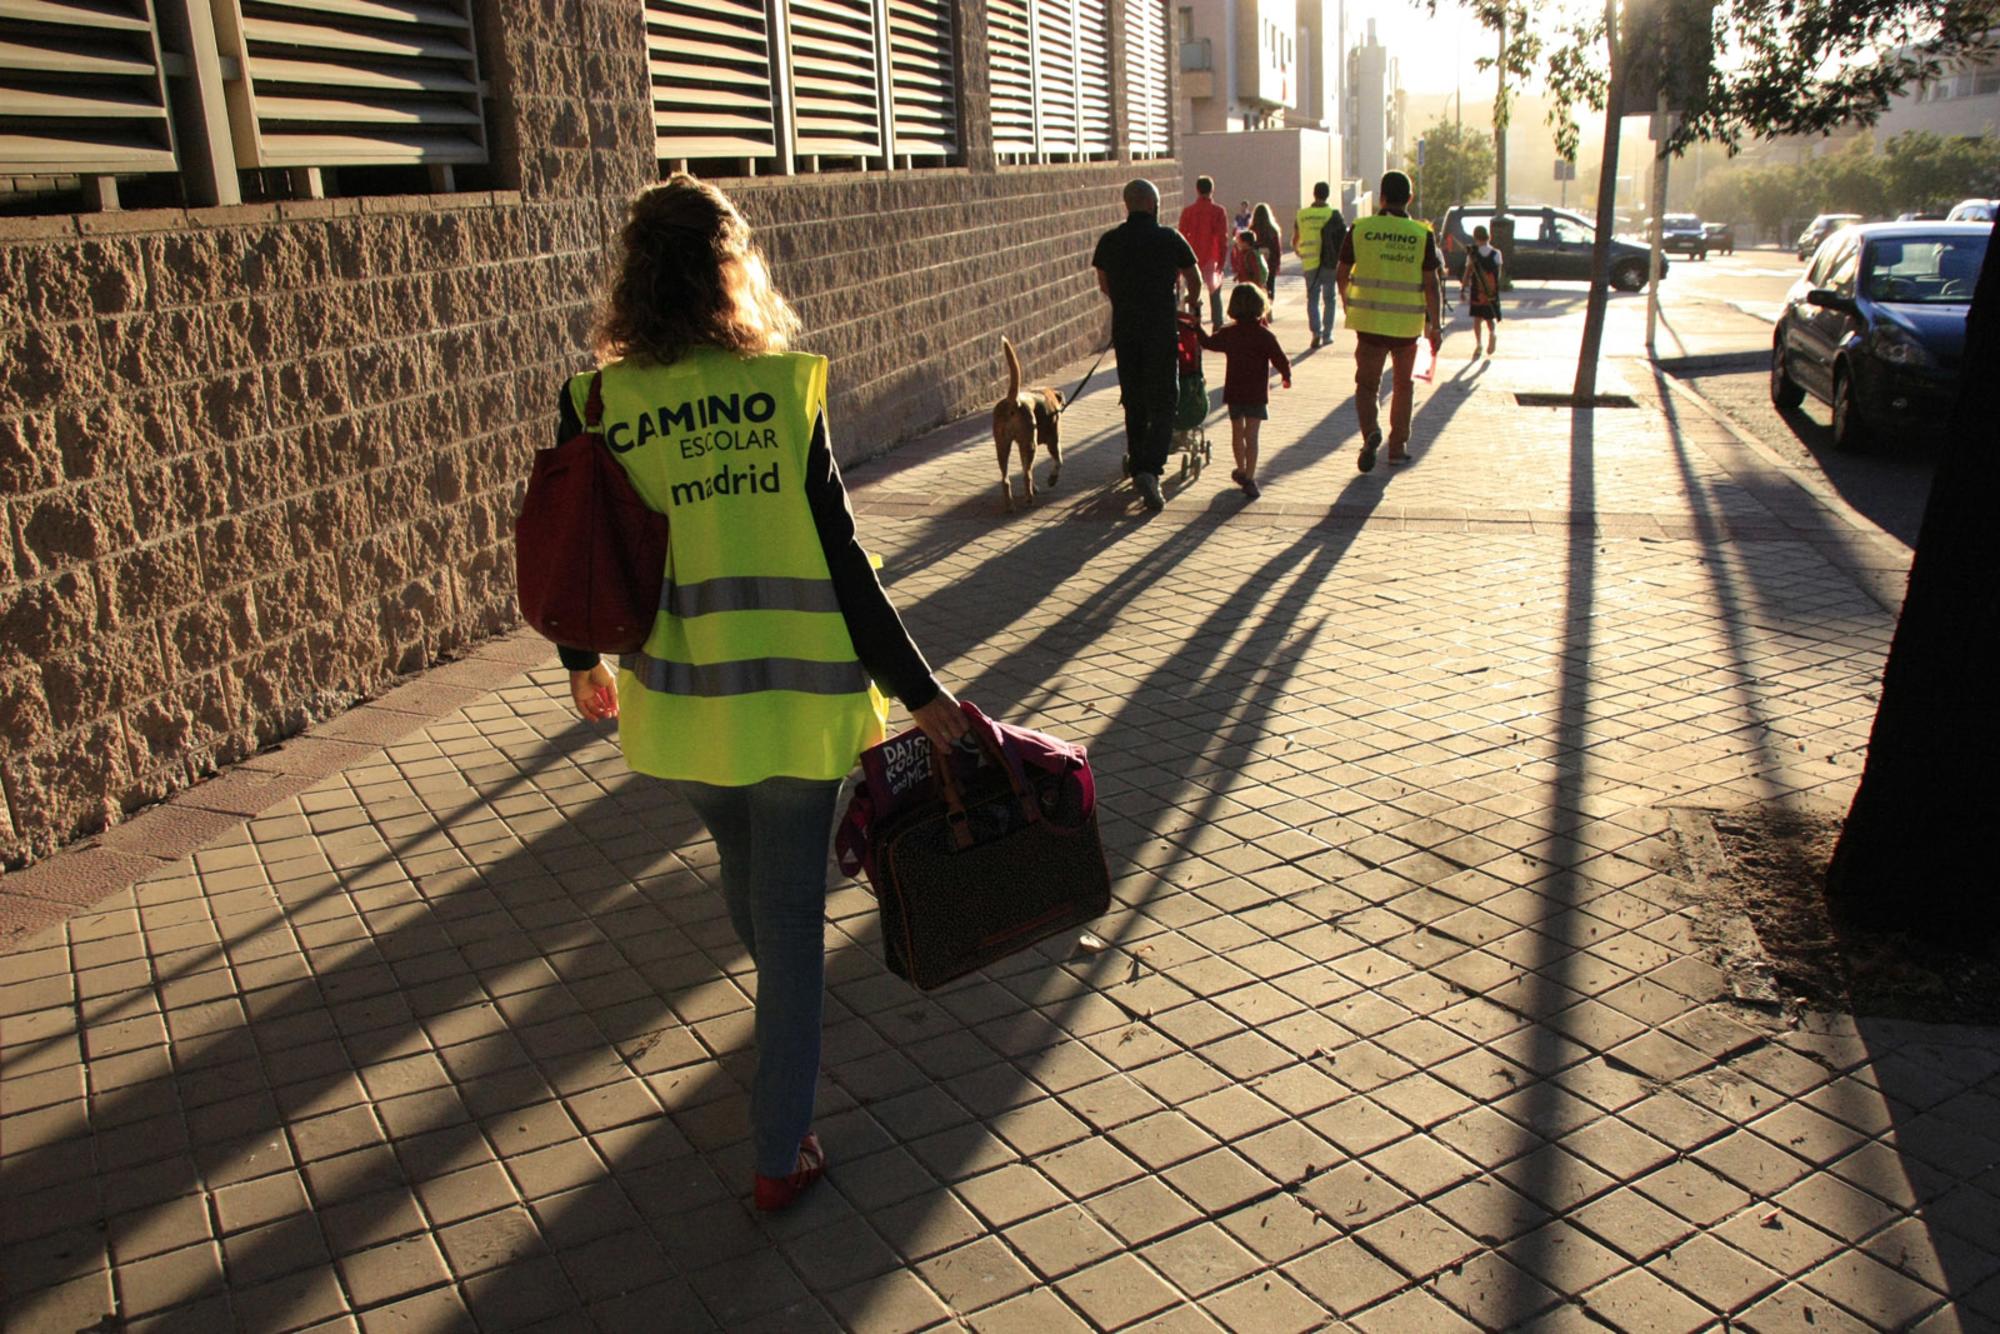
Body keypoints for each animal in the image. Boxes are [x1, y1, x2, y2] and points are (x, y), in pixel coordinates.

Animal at [988, 340, 1064, 512]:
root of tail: (1012, 401)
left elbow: (1025, 467)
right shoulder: (1053, 441)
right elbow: (1059, 461)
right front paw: (1052, 479)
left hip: (1002, 446)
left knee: (1007, 479)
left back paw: (1010, 505)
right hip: (1030, 445)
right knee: (1026, 475)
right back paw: (1029, 499)